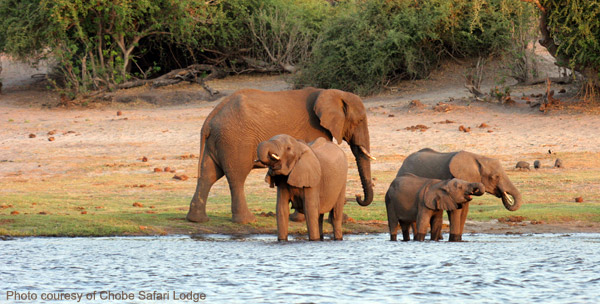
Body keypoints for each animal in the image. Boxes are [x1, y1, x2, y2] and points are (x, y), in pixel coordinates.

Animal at [188, 87, 376, 223]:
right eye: (359, 121)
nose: (358, 197)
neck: (333, 93)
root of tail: (210, 119)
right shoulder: (314, 130)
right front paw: (302, 218)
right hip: (235, 140)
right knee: (237, 177)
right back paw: (247, 221)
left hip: (218, 141)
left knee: (208, 175)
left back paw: (197, 220)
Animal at [396, 148, 524, 241]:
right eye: (495, 177)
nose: (504, 194)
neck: (478, 158)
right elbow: (455, 210)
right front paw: (455, 240)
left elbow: (465, 210)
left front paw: (459, 240)